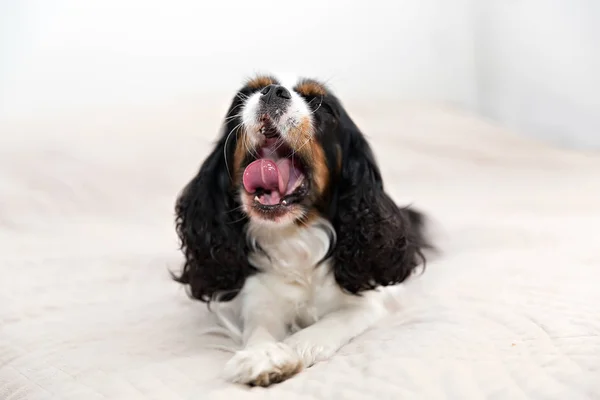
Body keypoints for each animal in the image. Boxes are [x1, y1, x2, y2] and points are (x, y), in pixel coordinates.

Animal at [172, 73, 432, 386]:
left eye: (323, 106)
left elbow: (337, 320)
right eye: (244, 96)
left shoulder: (368, 300)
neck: (296, 235)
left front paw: (293, 348)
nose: (272, 91)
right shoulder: (259, 297)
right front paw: (263, 355)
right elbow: (259, 327)